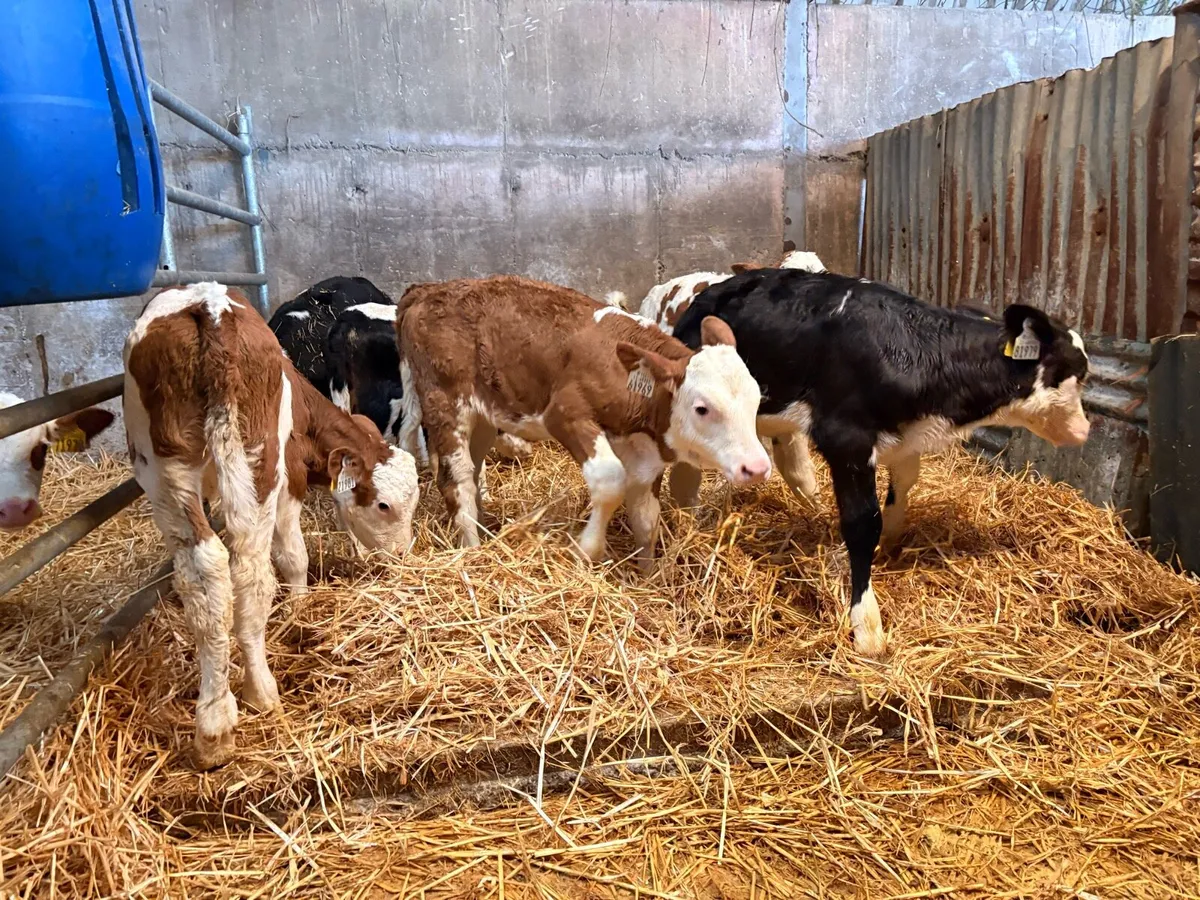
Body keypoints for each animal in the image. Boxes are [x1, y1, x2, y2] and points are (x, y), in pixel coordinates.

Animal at [124, 282, 420, 768]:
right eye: (383, 505)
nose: (401, 557)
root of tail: (211, 310)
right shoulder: (291, 475)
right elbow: (294, 556)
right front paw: (299, 606)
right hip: (257, 465)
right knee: (249, 571)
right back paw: (257, 693)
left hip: (170, 469)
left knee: (212, 572)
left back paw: (217, 721)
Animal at [396, 275, 771, 569]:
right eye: (702, 408)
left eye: (756, 399)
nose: (756, 468)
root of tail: (426, 290)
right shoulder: (565, 413)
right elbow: (609, 480)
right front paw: (586, 548)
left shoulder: (644, 453)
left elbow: (646, 519)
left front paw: (649, 576)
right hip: (445, 400)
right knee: (456, 478)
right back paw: (472, 548)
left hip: (484, 413)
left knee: (473, 470)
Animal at [670, 270, 1091, 656]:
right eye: (1076, 371)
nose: (1085, 429)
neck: (916, 350)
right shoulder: (846, 439)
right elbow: (862, 523)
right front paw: (867, 626)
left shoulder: (904, 437)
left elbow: (903, 487)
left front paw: (889, 543)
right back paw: (685, 524)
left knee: (791, 462)